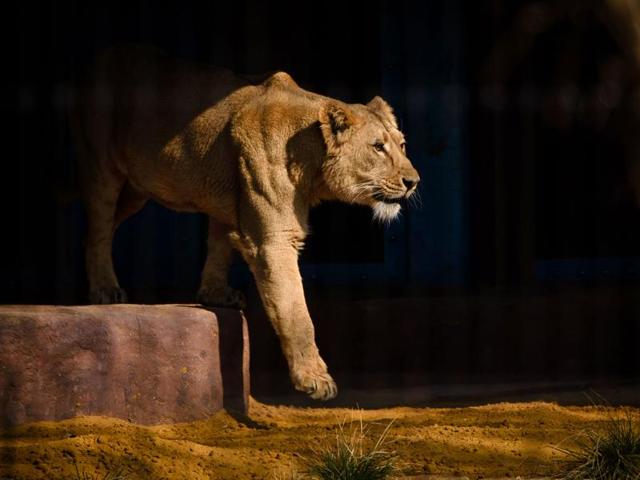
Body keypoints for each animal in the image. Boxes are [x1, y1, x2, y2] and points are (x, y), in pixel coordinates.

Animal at [70, 45, 420, 400]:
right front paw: (314, 379)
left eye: (402, 145)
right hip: (103, 170)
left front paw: (214, 294)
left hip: (136, 191)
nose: (413, 182)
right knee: (98, 229)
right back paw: (104, 289)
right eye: (378, 147)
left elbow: (220, 246)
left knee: (91, 232)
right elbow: (296, 310)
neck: (311, 160)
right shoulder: (274, 240)